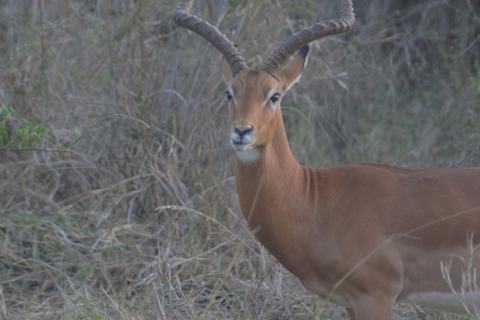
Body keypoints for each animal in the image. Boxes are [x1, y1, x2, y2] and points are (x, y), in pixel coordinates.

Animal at [174, 1, 480, 318]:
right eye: (229, 93)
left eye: (274, 95)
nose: (242, 131)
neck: (317, 202)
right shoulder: (352, 303)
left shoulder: (376, 297)